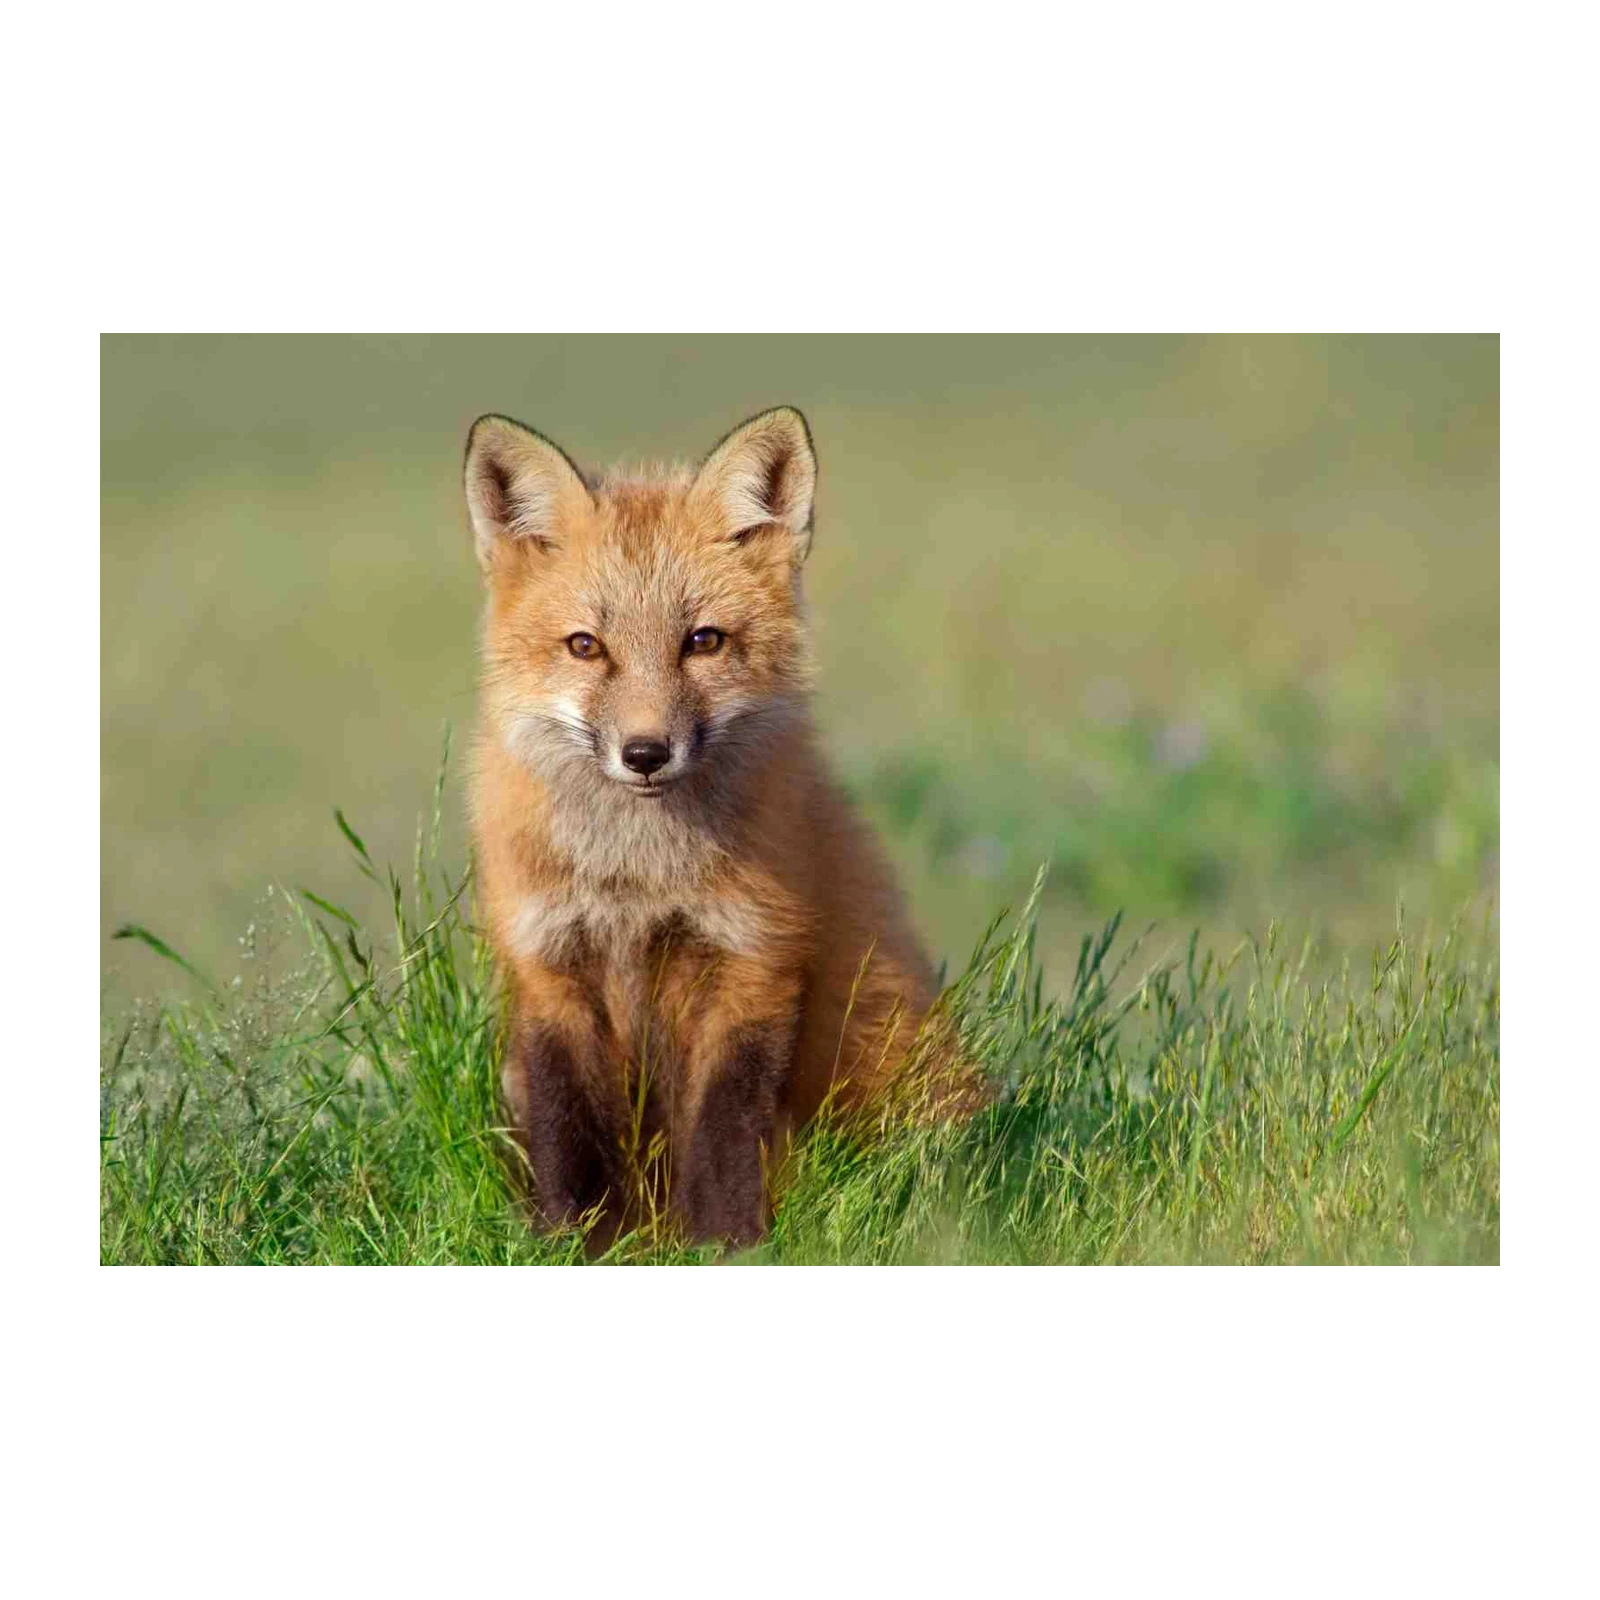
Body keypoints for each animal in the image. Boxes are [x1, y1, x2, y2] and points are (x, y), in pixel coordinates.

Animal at [464, 405, 971, 1248]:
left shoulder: (753, 960)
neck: (637, 880)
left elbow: (723, 1131)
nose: (644, 753)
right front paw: (572, 1243)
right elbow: (569, 1134)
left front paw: (725, 1246)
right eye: (585, 646)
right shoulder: (548, 967)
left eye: (702, 642)